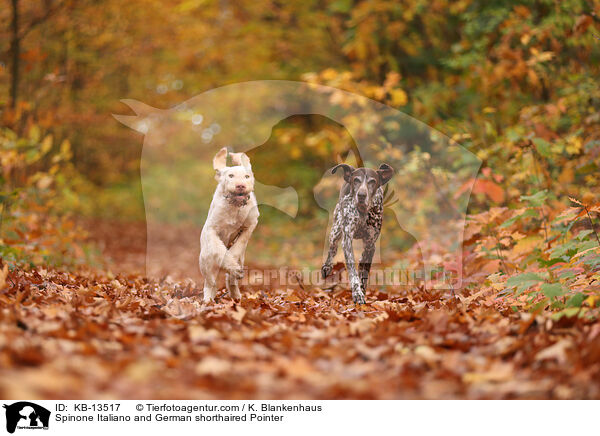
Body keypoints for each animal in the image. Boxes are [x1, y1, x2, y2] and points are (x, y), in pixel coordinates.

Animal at [200, 148, 258, 302]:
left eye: (247, 176)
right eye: (231, 176)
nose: (240, 186)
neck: (234, 206)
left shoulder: (250, 225)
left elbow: (237, 247)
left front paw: (233, 266)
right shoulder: (211, 230)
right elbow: (220, 250)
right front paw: (229, 264)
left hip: (241, 260)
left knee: (230, 279)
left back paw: (235, 294)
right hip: (204, 260)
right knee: (210, 282)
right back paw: (208, 299)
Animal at [324, 163, 394, 304]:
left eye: (372, 181)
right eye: (356, 180)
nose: (361, 195)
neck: (363, 211)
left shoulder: (370, 245)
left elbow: (364, 273)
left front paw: (362, 291)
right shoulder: (347, 240)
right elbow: (352, 271)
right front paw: (357, 293)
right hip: (336, 230)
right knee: (332, 249)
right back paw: (327, 267)